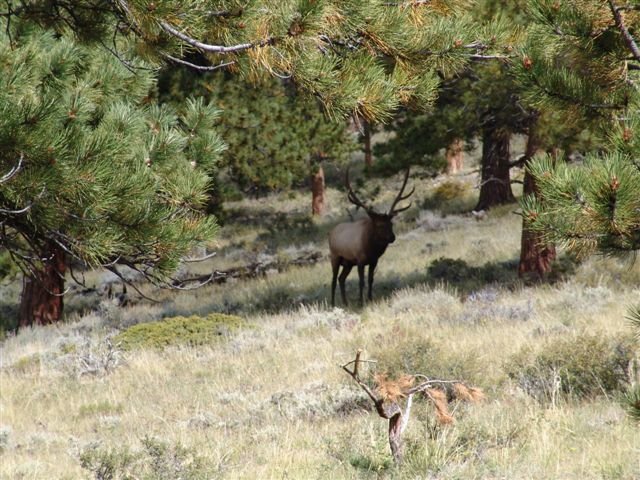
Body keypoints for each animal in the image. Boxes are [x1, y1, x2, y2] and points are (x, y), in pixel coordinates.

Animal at [330, 167, 416, 306]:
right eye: (379, 225)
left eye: (391, 223)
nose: (392, 237)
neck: (371, 248)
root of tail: (331, 232)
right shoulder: (360, 260)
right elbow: (361, 281)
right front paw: (361, 302)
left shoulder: (373, 261)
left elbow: (371, 280)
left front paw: (370, 299)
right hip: (335, 257)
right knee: (333, 280)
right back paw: (333, 304)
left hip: (348, 263)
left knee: (341, 279)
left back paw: (345, 303)